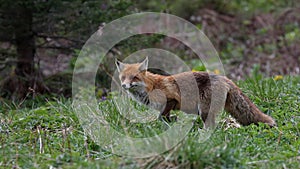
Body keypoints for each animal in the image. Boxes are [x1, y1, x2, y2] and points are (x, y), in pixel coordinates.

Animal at [115, 57, 276, 127]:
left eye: (134, 77)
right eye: (123, 77)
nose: (124, 85)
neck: (150, 87)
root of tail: (225, 78)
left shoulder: (171, 100)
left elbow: (162, 116)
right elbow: (164, 117)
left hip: (204, 110)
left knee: (212, 126)